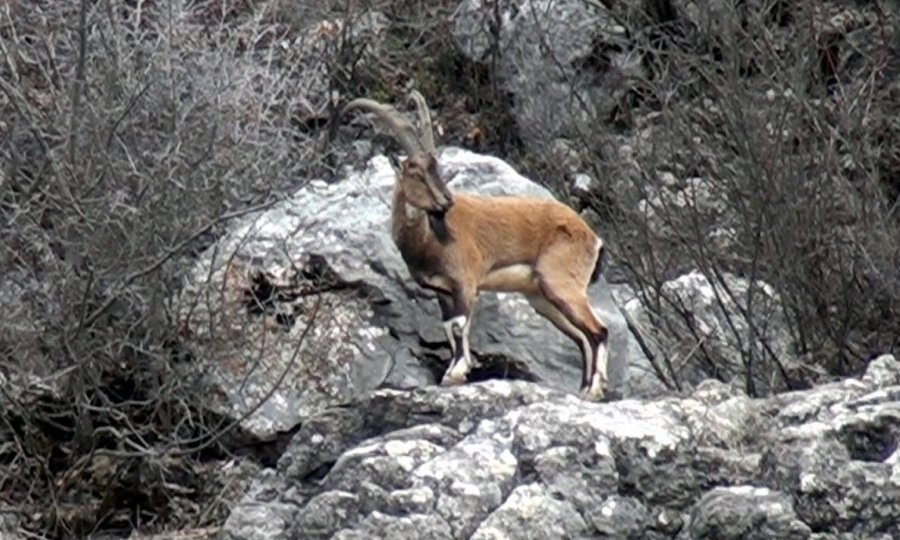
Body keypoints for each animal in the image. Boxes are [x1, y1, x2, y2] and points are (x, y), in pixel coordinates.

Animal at [344, 90, 612, 398]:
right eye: (416, 173)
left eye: (436, 168)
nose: (446, 201)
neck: (428, 240)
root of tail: (593, 237)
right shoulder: (442, 291)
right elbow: (449, 328)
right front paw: (452, 373)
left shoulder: (465, 282)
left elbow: (460, 327)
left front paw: (457, 372)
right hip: (542, 298)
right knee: (581, 336)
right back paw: (584, 388)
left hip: (561, 284)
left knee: (598, 331)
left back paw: (595, 389)